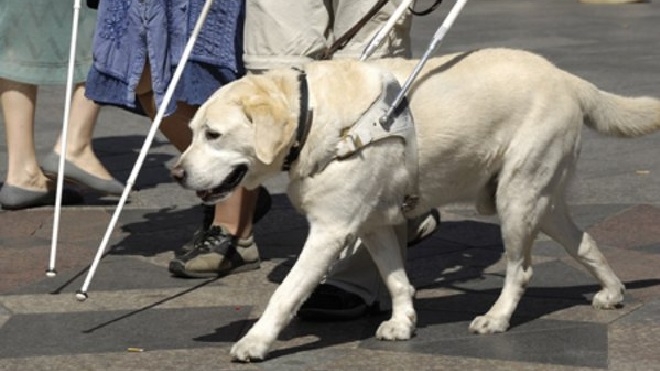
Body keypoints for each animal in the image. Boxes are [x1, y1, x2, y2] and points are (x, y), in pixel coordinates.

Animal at [171, 48, 660, 362]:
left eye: (213, 135)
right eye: (192, 132)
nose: (176, 173)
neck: (315, 118)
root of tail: (567, 77)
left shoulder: (330, 230)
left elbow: (285, 292)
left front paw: (256, 342)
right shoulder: (372, 225)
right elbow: (396, 279)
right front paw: (404, 323)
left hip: (517, 198)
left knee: (521, 270)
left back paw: (497, 317)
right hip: (543, 200)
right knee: (585, 242)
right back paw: (612, 292)